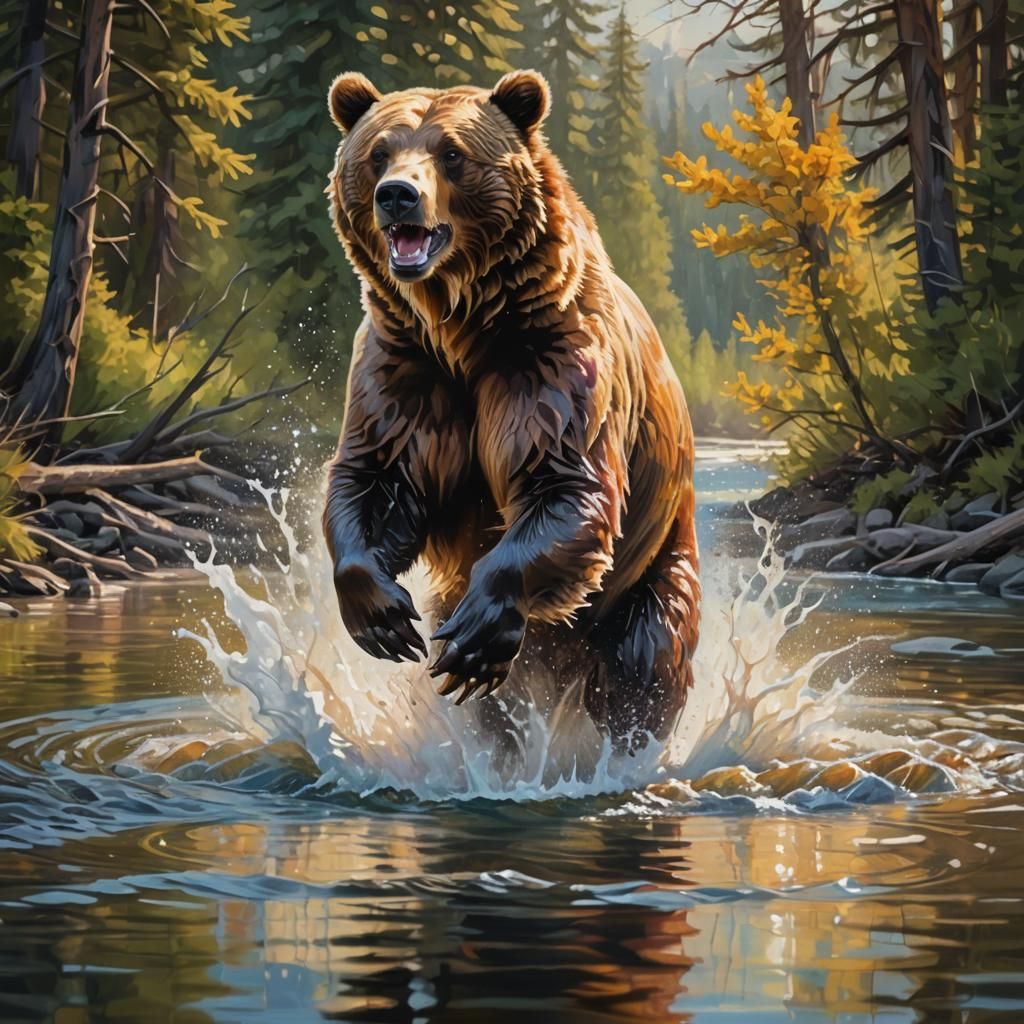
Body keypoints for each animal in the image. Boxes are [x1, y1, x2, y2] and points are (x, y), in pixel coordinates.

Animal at [322, 68, 700, 747]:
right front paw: (381, 615)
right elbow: (377, 476)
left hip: (655, 562)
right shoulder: (405, 370)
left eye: (452, 153)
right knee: (499, 716)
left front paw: (476, 639)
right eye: (378, 153)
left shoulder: (550, 362)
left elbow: (564, 483)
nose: (397, 196)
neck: (464, 327)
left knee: (646, 664)